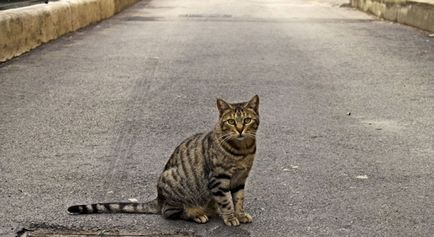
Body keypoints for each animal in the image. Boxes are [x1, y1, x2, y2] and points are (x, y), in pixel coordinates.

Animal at [66, 95, 260, 226]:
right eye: (231, 122)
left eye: (247, 120)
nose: (240, 129)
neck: (243, 150)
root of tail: (158, 198)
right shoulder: (218, 179)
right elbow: (226, 202)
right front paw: (231, 217)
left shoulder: (240, 179)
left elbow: (239, 199)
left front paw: (240, 214)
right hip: (172, 182)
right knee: (169, 212)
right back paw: (196, 214)